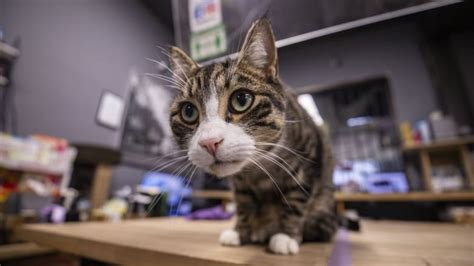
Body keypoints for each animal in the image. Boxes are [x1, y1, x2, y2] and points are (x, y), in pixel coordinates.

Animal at [168, 17, 336, 255]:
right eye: (188, 112)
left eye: (241, 100)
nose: (209, 142)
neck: (259, 168)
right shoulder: (240, 183)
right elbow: (244, 201)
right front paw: (241, 231)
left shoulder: (309, 156)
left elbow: (296, 197)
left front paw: (286, 235)